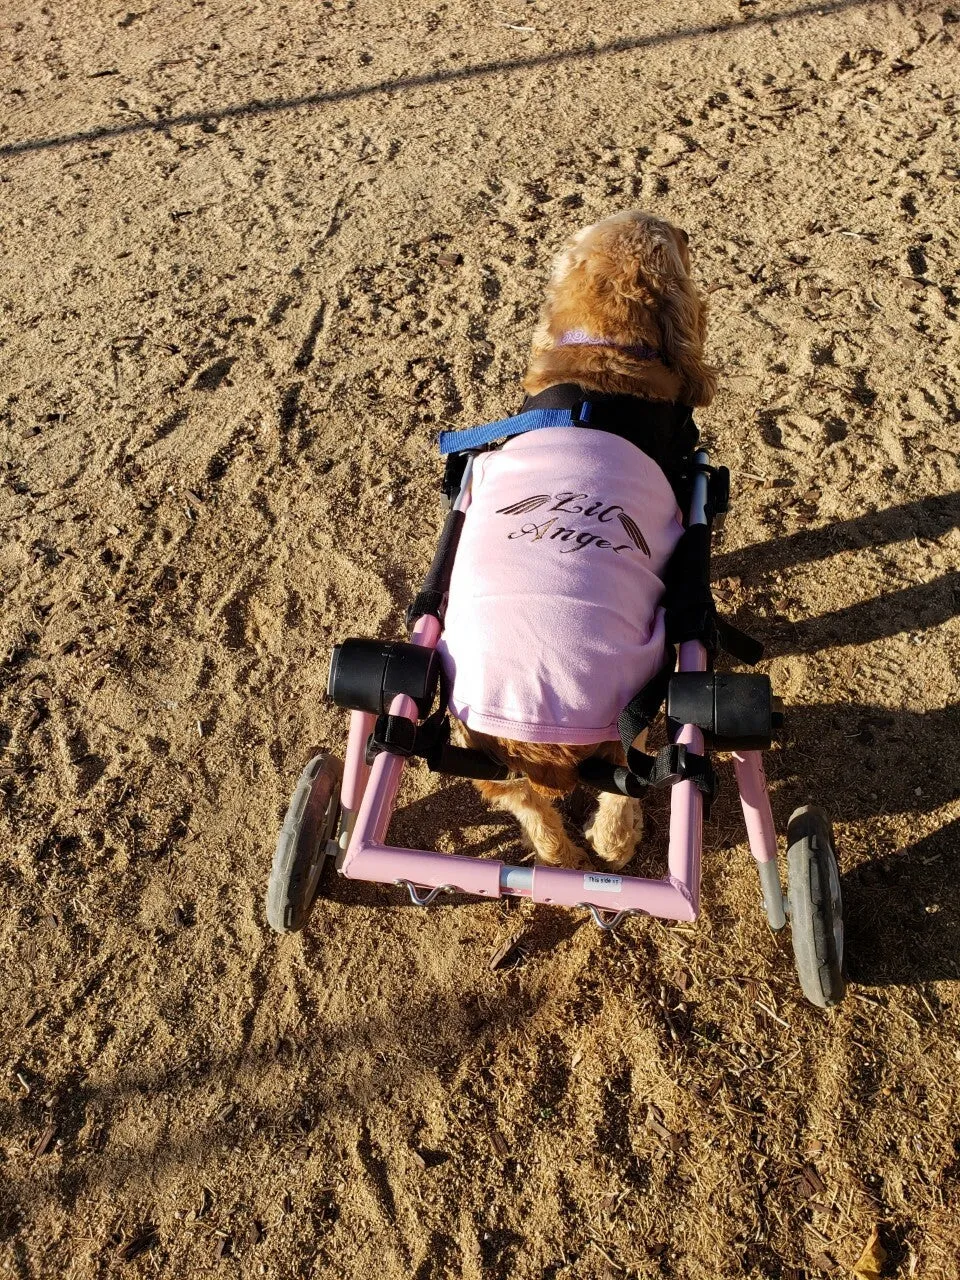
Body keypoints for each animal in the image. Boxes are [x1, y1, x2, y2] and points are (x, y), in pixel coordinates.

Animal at [435, 212, 716, 870]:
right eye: (679, 245)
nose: (682, 226)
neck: (604, 354)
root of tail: (536, 741)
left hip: (478, 749)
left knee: (528, 805)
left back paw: (560, 859)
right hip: (637, 697)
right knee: (625, 779)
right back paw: (615, 843)